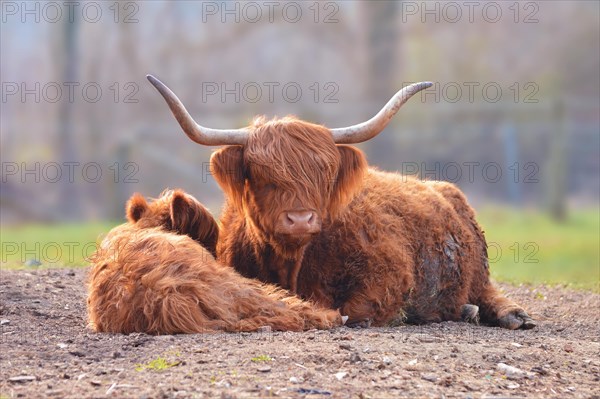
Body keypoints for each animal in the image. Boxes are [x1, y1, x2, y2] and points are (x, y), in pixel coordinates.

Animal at [148, 75, 536, 332]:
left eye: (325, 173)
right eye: (262, 174)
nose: (300, 219)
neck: (291, 263)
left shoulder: (390, 273)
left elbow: (358, 311)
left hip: (478, 268)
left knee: (486, 292)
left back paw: (510, 315)